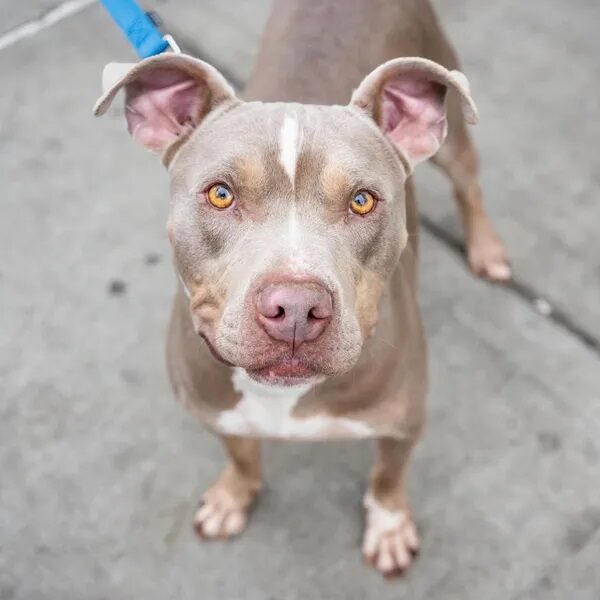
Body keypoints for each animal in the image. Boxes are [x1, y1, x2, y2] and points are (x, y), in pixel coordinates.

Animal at [96, 0, 508, 580]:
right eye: (220, 194)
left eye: (362, 200)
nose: (295, 308)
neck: (282, 397)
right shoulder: (215, 411)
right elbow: (240, 451)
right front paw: (234, 494)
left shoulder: (404, 425)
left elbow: (388, 477)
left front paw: (388, 526)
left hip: (452, 127)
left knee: (469, 183)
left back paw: (487, 248)